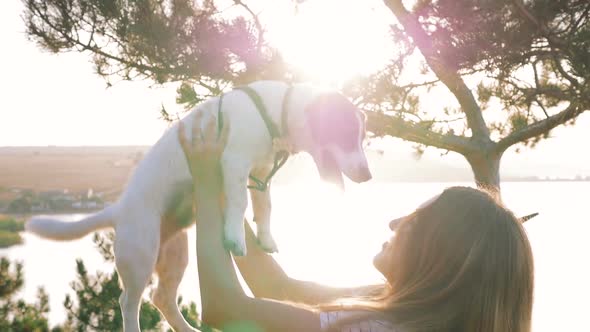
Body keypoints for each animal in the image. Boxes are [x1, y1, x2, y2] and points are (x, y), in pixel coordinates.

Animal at [27, 81, 372, 332]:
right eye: (345, 134)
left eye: (361, 136)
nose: (368, 176)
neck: (271, 112)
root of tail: (118, 210)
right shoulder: (235, 164)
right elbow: (240, 202)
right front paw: (235, 238)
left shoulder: (261, 173)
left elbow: (265, 206)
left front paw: (265, 237)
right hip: (140, 255)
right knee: (128, 301)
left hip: (175, 255)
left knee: (162, 298)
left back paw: (187, 328)